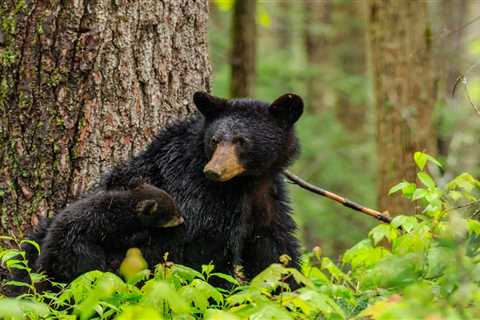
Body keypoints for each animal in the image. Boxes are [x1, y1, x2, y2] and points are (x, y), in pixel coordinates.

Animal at [101, 91, 304, 278]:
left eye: (241, 141)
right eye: (215, 140)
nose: (213, 170)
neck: (246, 181)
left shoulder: (267, 196)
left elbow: (274, 246)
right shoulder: (198, 195)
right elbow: (208, 250)